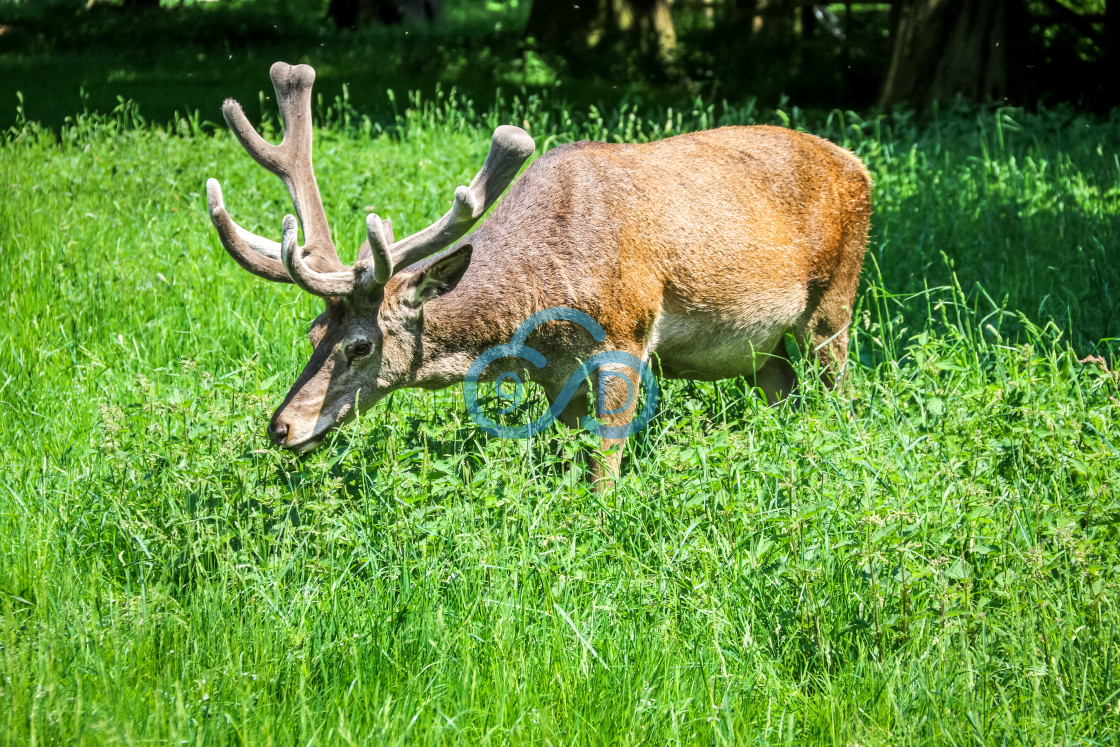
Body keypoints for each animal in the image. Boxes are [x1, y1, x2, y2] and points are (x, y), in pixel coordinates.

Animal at [203, 61, 873, 488]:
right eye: (314, 332)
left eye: (361, 345)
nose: (281, 427)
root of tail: (860, 166)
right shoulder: (557, 376)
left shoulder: (626, 332)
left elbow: (605, 466)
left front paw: (601, 526)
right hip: (761, 346)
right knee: (783, 383)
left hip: (835, 298)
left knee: (842, 388)